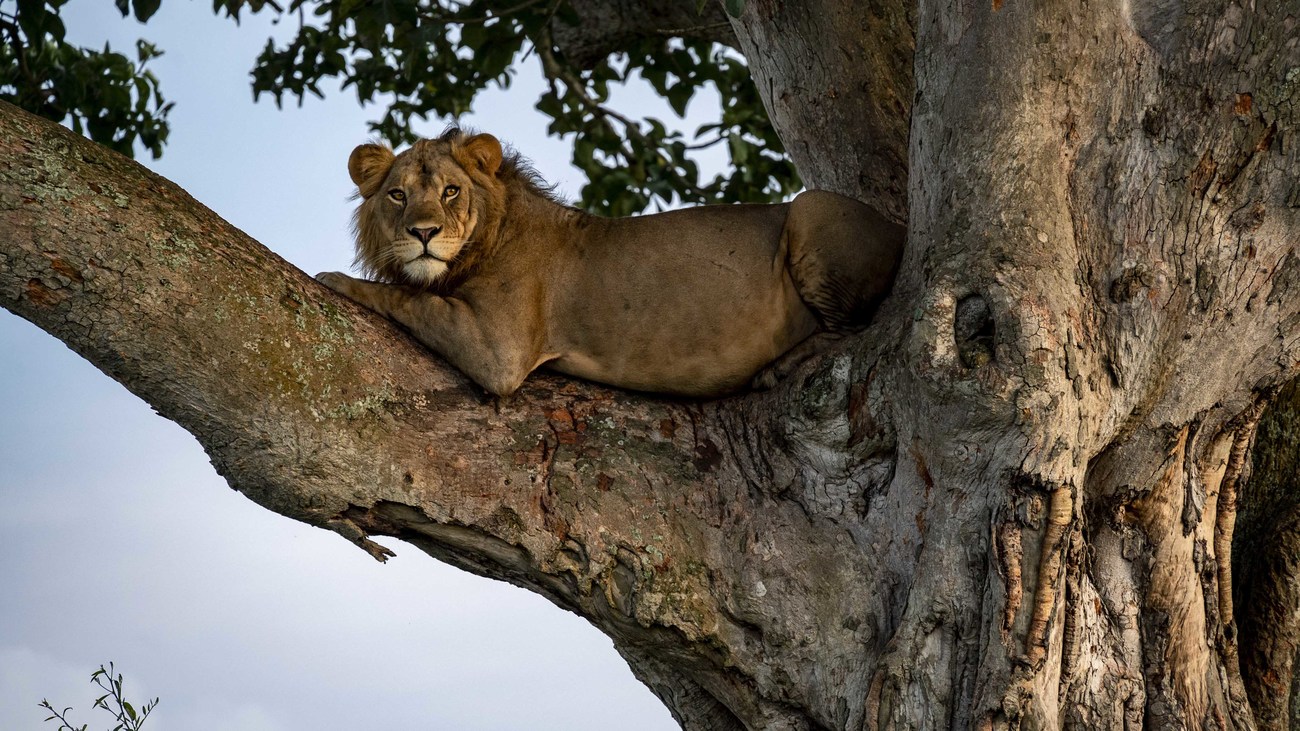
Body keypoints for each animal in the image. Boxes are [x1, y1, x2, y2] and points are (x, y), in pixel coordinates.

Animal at [314, 128, 904, 395]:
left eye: (451, 191)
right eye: (398, 195)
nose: (424, 233)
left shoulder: (498, 351)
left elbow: (407, 296)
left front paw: (336, 278)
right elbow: (412, 291)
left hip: (810, 207)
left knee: (850, 328)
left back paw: (782, 365)